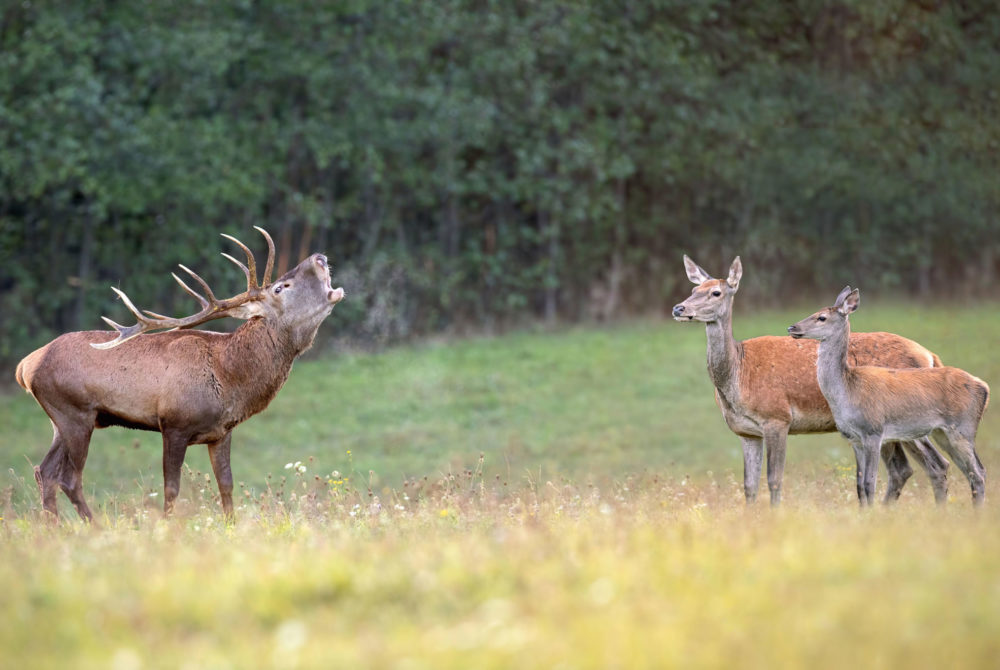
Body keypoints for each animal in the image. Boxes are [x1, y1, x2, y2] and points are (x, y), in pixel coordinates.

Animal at [676, 258, 948, 504]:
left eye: (716, 292)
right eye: (693, 290)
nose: (678, 308)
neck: (739, 376)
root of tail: (930, 356)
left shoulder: (777, 418)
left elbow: (774, 480)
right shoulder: (746, 432)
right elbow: (749, 486)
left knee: (934, 464)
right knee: (906, 469)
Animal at [788, 290, 992, 510]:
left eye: (822, 317)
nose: (792, 327)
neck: (847, 390)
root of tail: (985, 387)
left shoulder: (873, 431)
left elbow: (869, 483)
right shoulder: (854, 438)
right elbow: (859, 485)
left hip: (963, 428)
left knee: (978, 472)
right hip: (942, 432)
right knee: (967, 470)